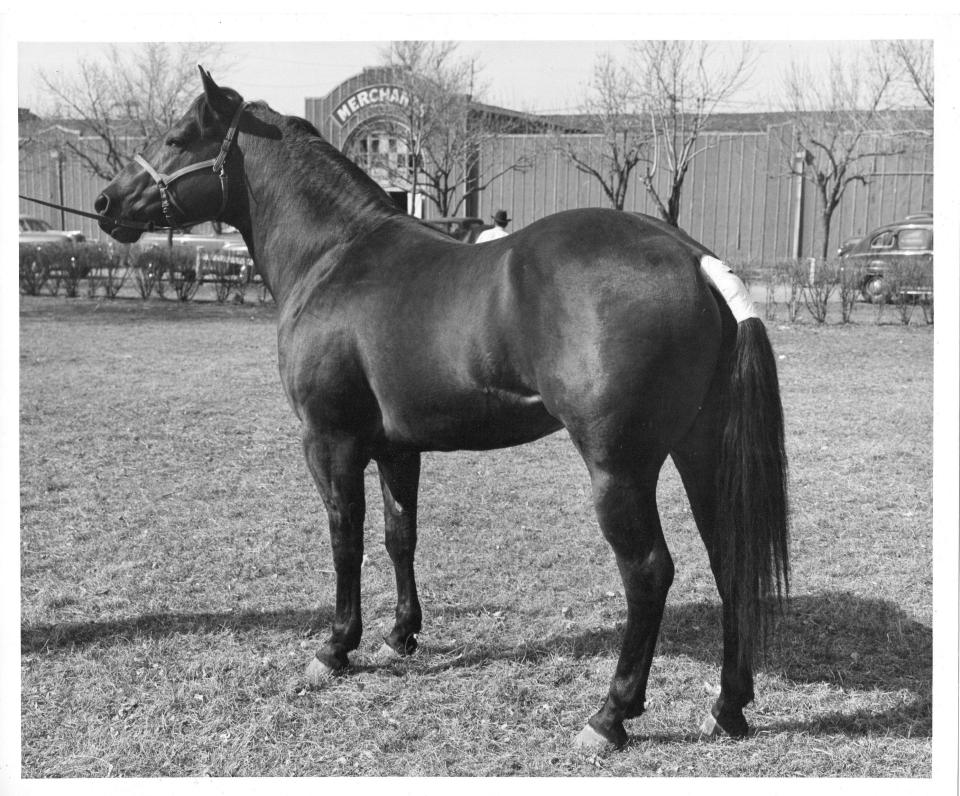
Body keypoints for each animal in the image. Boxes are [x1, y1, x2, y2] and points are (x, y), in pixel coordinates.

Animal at [95, 67, 788, 748]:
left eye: (178, 138)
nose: (105, 203)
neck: (334, 255)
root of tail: (692, 257)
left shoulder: (329, 441)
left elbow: (346, 537)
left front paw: (335, 648)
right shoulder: (397, 447)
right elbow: (400, 535)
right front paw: (400, 635)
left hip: (619, 469)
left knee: (647, 573)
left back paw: (610, 715)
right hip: (699, 452)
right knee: (730, 560)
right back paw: (728, 706)